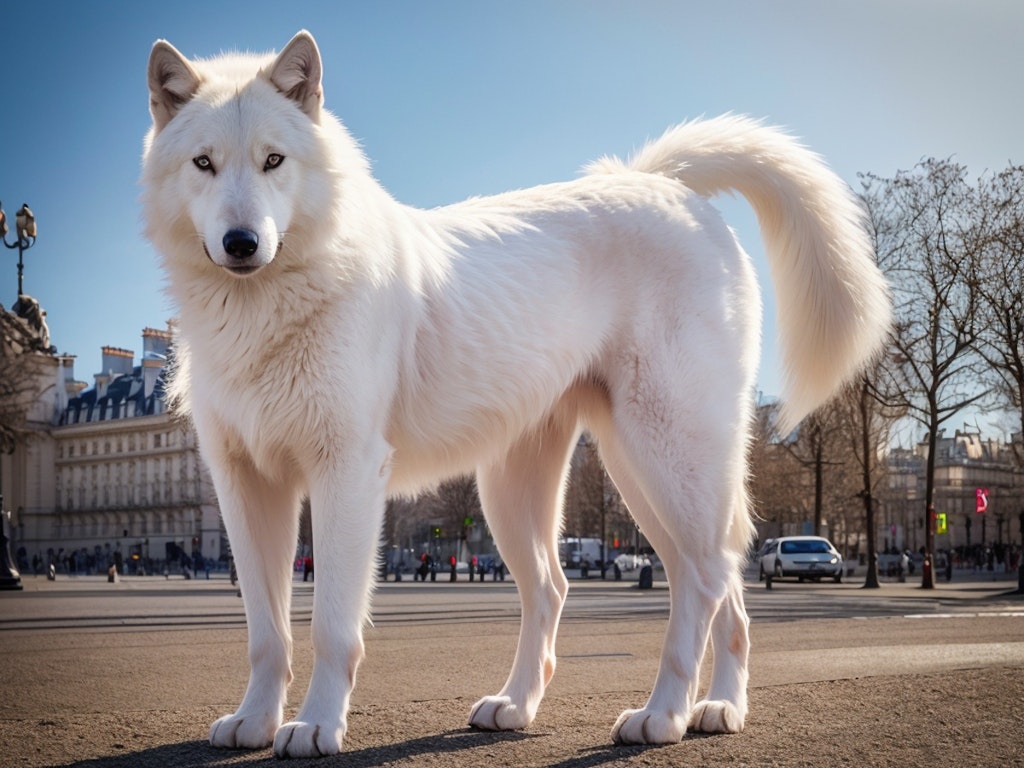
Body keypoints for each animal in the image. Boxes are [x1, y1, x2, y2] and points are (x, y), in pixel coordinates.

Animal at [142, 31, 888, 765]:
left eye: (274, 160)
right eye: (204, 164)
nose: (242, 243)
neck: (266, 304)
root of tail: (661, 183)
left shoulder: (345, 473)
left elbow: (330, 623)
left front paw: (317, 725)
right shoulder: (246, 485)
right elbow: (266, 630)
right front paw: (254, 720)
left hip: (667, 455)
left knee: (703, 580)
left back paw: (667, 713)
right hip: (566, 481)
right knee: (626, 583)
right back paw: (642, 707)